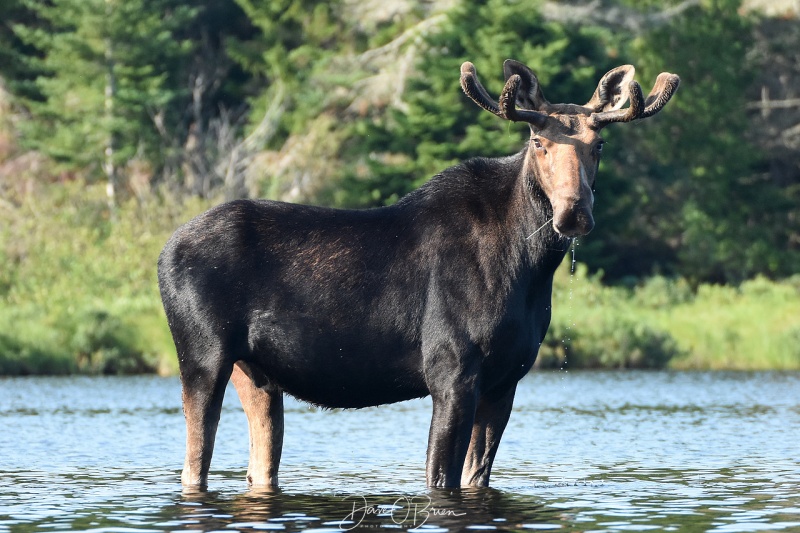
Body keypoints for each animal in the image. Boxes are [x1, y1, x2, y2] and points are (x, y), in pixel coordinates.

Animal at [158, 57, 680, 486]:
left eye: (600, 144)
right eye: (538, 141)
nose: (573, 213)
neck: (530, 270)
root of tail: (162, 254)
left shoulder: (505, 380)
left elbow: (474, 477)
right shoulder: (451, 372)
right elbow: (439, 478)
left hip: (257, 373)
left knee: (257, 465)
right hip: (203, 355)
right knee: (193, 464)